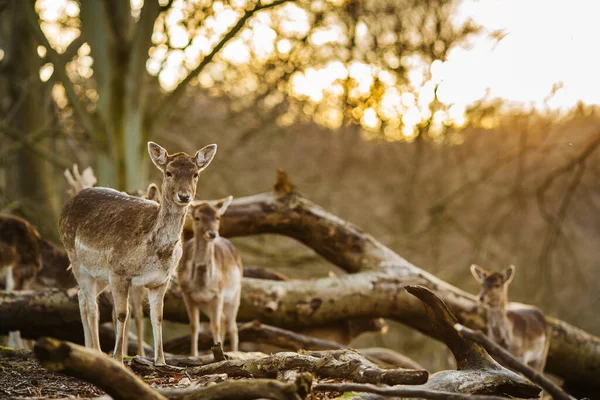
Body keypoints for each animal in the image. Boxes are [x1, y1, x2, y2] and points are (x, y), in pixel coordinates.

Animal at [58, 142, 217, 364]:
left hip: (98, 275)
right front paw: (118, 358)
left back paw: (88, 349)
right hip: (75, 258)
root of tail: (66, 205)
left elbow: (157, 316)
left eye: (195, 174)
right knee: (91, 306)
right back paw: (97, 352)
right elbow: (122, 314)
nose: (184, 196)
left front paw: (160, 361)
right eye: (168, 172)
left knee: (81, 297)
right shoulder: (118, 271)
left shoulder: (161, 280)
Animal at [177, 197, 243, 356]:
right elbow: (194, 326)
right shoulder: (187, 294)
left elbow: (215, 325)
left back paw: (234, 352)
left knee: (232, 325)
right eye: (197, 217)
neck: (202, 283)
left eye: (217, 217)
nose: (212, 234)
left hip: (235, 294)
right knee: (224, 321)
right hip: (206, 303)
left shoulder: (219, 293)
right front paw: (193, 355)